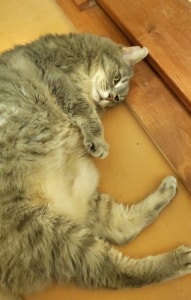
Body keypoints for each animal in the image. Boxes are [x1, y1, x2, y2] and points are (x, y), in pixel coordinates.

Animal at [0, 32, 191, 300]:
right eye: (117, 78)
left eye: (118, 98)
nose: (111, 97)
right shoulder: (55, 74)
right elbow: (84, 110)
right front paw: (97, 139)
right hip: (51, 234)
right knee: (117, 273)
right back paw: (179, 260)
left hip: (79, 205)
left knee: (121, 229)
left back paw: (169, 189)